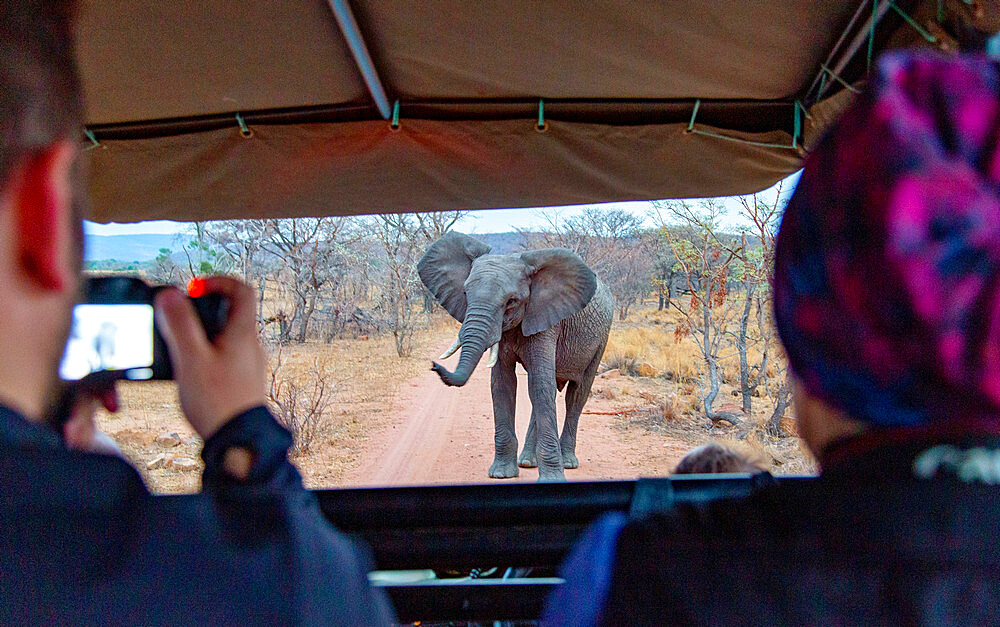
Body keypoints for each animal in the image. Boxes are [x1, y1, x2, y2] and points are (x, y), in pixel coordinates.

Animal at [418, 233, 612, 484]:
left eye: (511, 301)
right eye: (465, 294)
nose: (434, 365)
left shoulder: (546, 321)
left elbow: (540, 385)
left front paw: (552, 480)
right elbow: (503, 385)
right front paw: (501, 474)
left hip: (602, 338)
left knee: (576, 394)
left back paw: (568, 462)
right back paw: (528, 462)